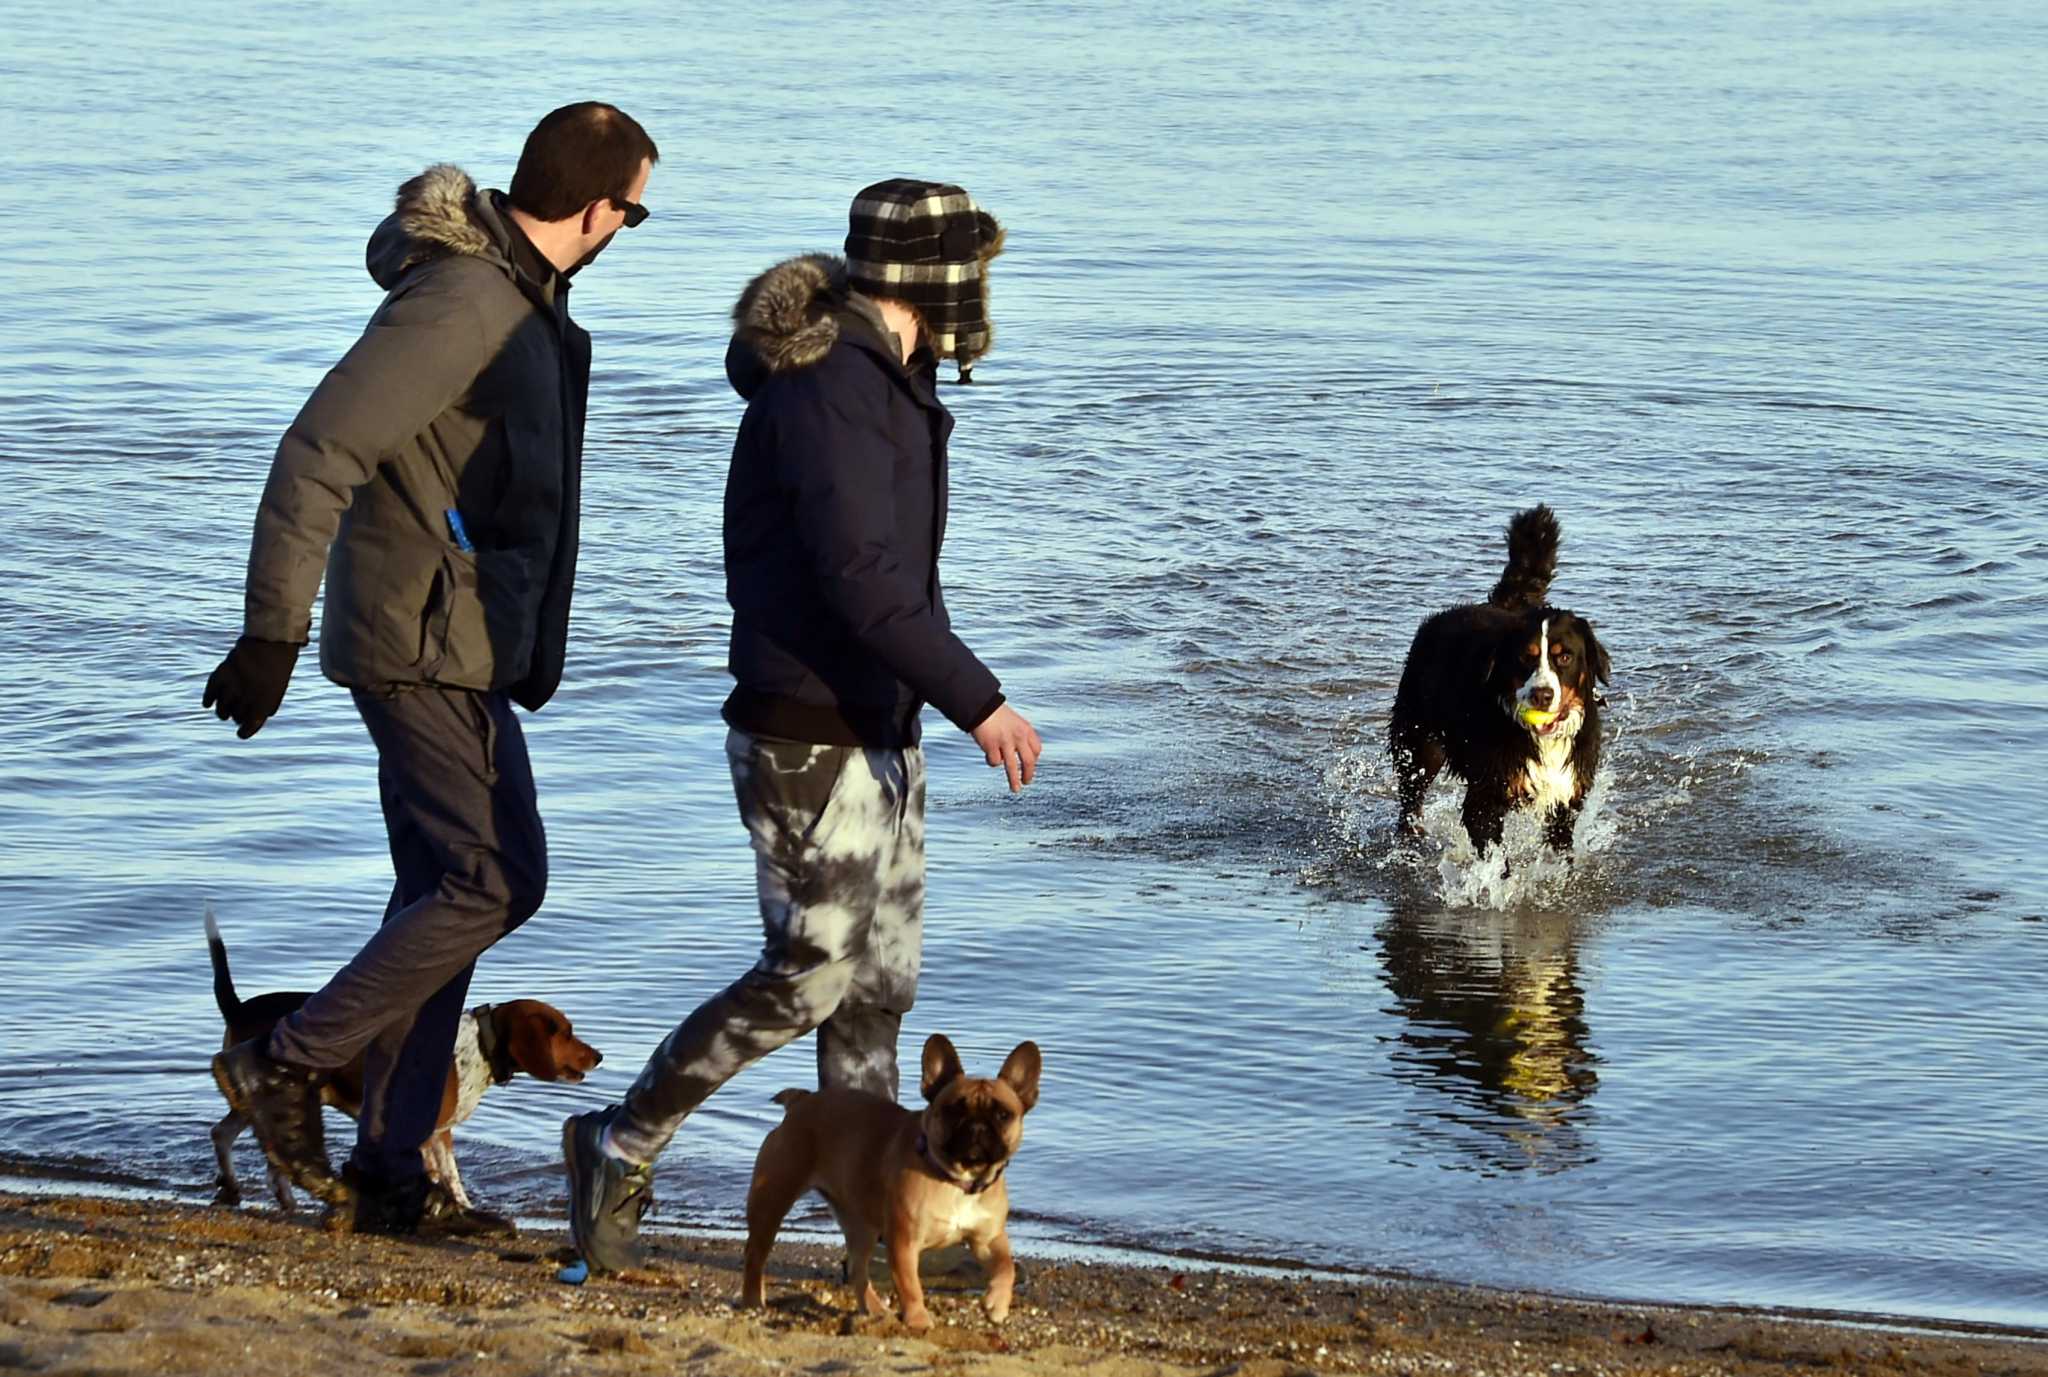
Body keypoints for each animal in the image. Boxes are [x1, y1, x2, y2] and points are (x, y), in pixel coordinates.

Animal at [1392, 506, 1613, 848]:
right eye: (1526, 656)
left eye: (1564, 657)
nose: (1542, 695)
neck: (1542, 741)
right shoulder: (1485, 797)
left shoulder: (1566, 797)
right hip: (1419, 741)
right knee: (1410, 794)